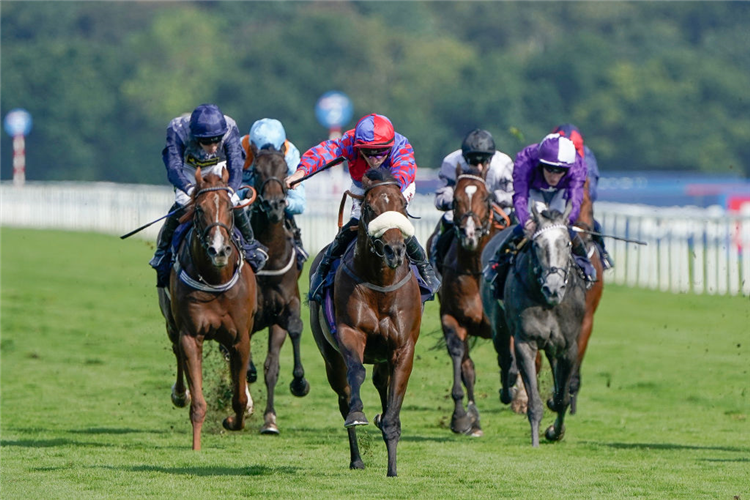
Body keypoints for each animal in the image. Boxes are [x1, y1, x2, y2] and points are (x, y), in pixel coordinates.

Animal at [157, 167, 258, 450]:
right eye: (199, 209)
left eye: (230, 208)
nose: (219, 249)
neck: (215, 281)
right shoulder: (191, 335)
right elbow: (199, 402)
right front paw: (196, 446)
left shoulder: (240, 337)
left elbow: (239, 397)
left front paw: (234, 420)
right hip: (171, 324)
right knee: (176, 350)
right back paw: (180, 394)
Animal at [310, 169, 424, 476]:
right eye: (369, 208)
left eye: (403, 205)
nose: (394, 250)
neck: (380, 285)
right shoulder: (350, 333)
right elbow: (356, 373)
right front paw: (358, 413)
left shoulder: (402, 348)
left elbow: (394, 399)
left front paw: (392, 467)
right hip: (329, 358)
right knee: (344, 393)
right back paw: (357, 458)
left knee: (383, 384)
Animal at [428, 166, 512, 436]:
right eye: (455, 199)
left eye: (486, 198)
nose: (470, 235)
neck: (476, 269)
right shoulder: (452, 318)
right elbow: (461, 362)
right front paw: (460, 417)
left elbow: (508, 358)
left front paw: (509, 388)